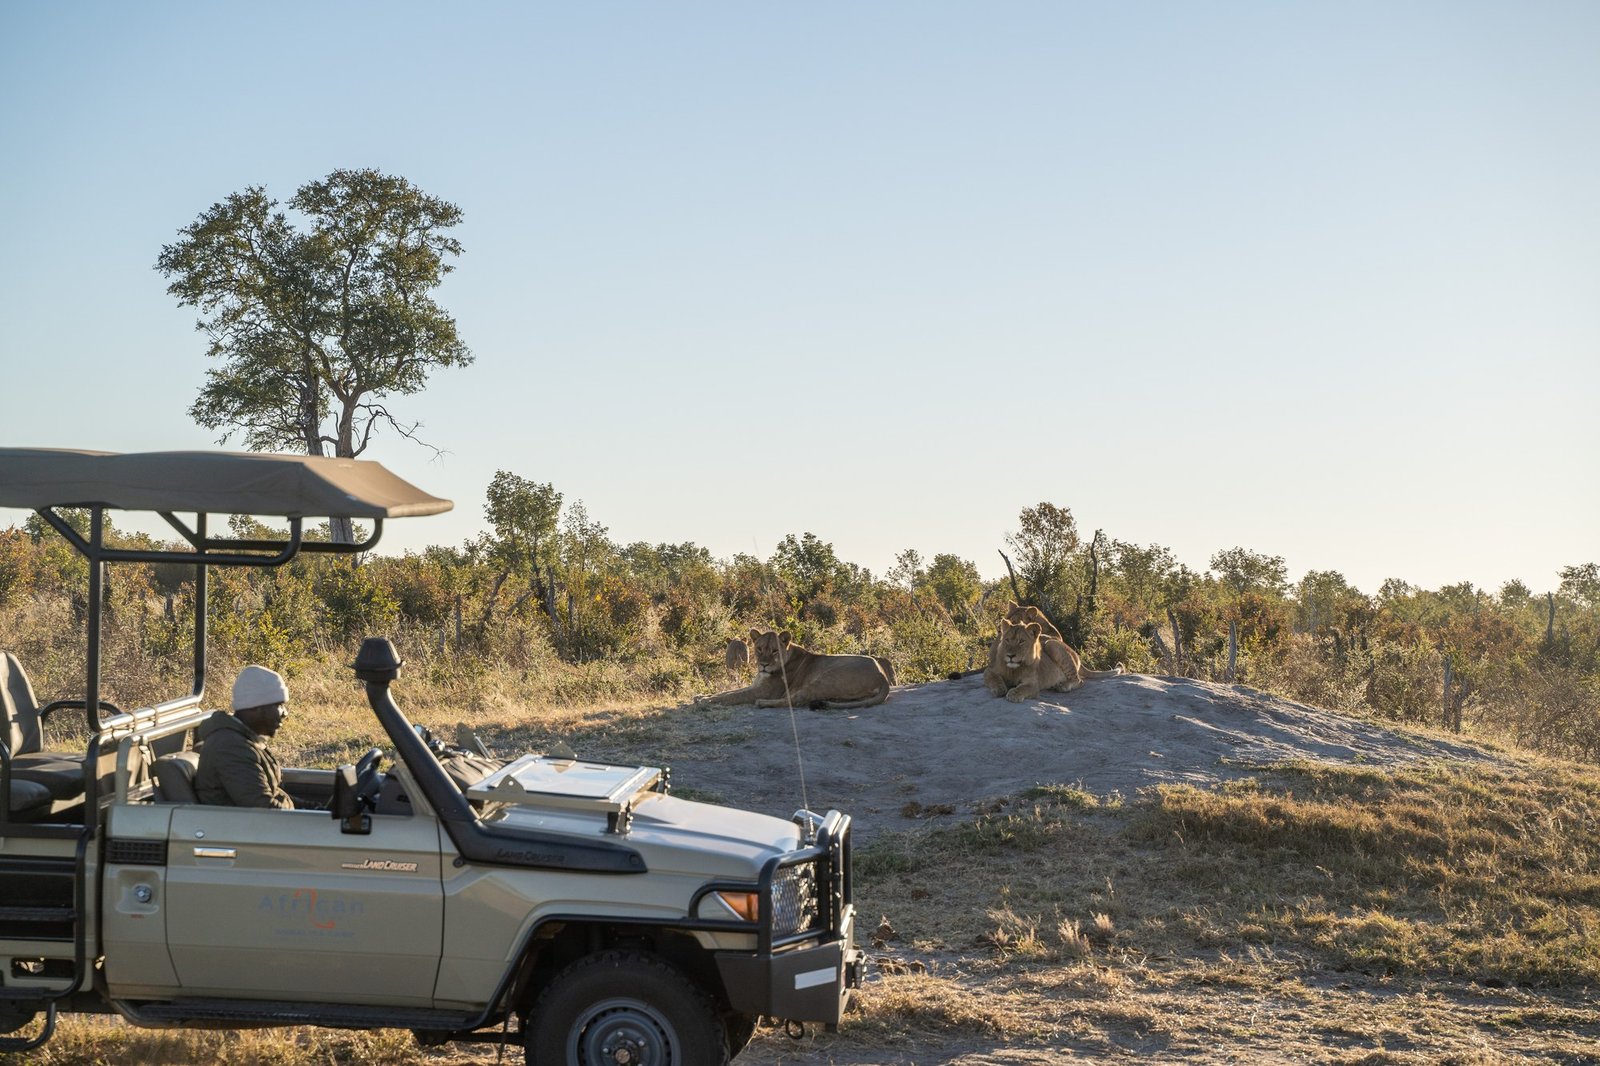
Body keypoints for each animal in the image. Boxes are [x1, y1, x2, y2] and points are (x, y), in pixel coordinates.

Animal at [697, 629, 892, 709]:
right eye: (759, 649)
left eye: (774, 650)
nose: (764, 665)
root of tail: (883, 676)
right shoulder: (755, 686)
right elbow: (727, 692)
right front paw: (702, 696)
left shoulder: (764, 691)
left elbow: (733, 696)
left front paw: (705, 701)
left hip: (825, 678)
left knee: (797, 700)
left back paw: (763, 703)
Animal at [983, 618, 1125, 703]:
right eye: (1007, 640)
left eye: (1021, 641)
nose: (1010, 656)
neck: (1015, 669)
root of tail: (1076, 653)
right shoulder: (990, 669)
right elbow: (993, 677)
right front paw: (999, 689)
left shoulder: (1033, 684)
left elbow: (1023, 688)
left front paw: (1013, 694)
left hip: (1051, 644)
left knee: (1079, 680)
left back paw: (1062, 686)